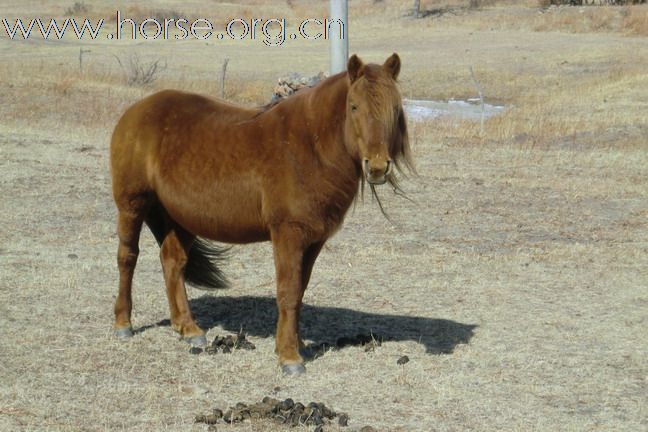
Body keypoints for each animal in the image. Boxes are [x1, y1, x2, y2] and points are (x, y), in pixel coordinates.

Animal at [109, 53, 412, 372]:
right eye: (354, 106)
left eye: (395, 108)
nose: (377, 167)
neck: (309, 146)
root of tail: (136, 110)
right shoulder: (287, 234)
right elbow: (288, 291)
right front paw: (289, 357)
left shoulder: (314, 240)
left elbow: (299, 290)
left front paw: (294, 343)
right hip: (132, 206)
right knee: (127, 258)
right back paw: (124, 324)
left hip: (180, 217)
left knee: (172, 263)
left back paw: (188, 328)